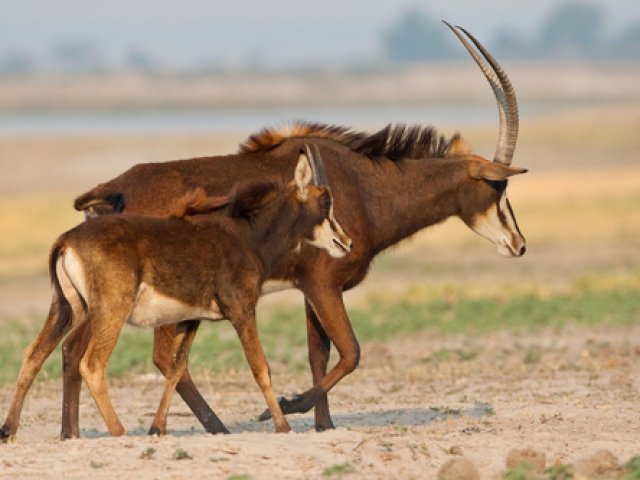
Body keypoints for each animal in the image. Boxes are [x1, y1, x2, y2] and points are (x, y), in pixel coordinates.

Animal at [0, 147, 350, 442]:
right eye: (326, 202)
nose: (345, 242)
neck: (245, 235)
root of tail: (66, 241)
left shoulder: (192, 318)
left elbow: (175, 368)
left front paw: (157, 428)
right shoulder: (241, 311)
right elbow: (260, 367)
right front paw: (282, 426)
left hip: (67, 310)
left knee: (34, 354)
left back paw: (10, 431)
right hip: (111, 312)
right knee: (92, 364)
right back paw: (119, 432)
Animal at [37, 21, 528, 436]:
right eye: (498, 185)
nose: (519, 244)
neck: (364, 186)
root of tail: (114, 188)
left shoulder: (315, 287)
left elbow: (320, 352)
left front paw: (324, 425)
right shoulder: (323, 283)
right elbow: (351, 352)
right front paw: (289, 408)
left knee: (72, 349)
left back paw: (72, 432)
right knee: (154, 356)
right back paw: (210, 427)